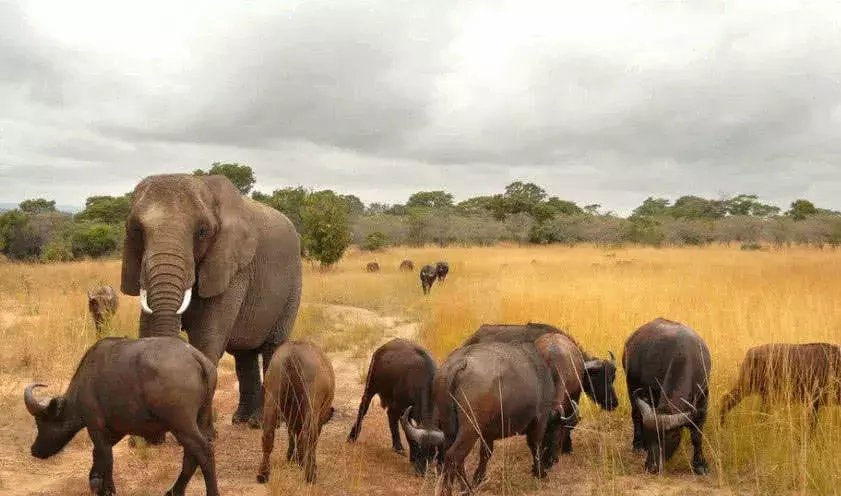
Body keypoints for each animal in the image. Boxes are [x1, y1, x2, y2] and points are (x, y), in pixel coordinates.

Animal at [120, 173, 303, 431]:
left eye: (202, 232)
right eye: (136, 229)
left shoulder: (233, 268)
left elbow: (206, 339)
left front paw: (203, 433)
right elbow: (147, 331)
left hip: (293, 285)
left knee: (272, 347)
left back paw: (263, 423)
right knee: (243, 355)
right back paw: (241, 420)